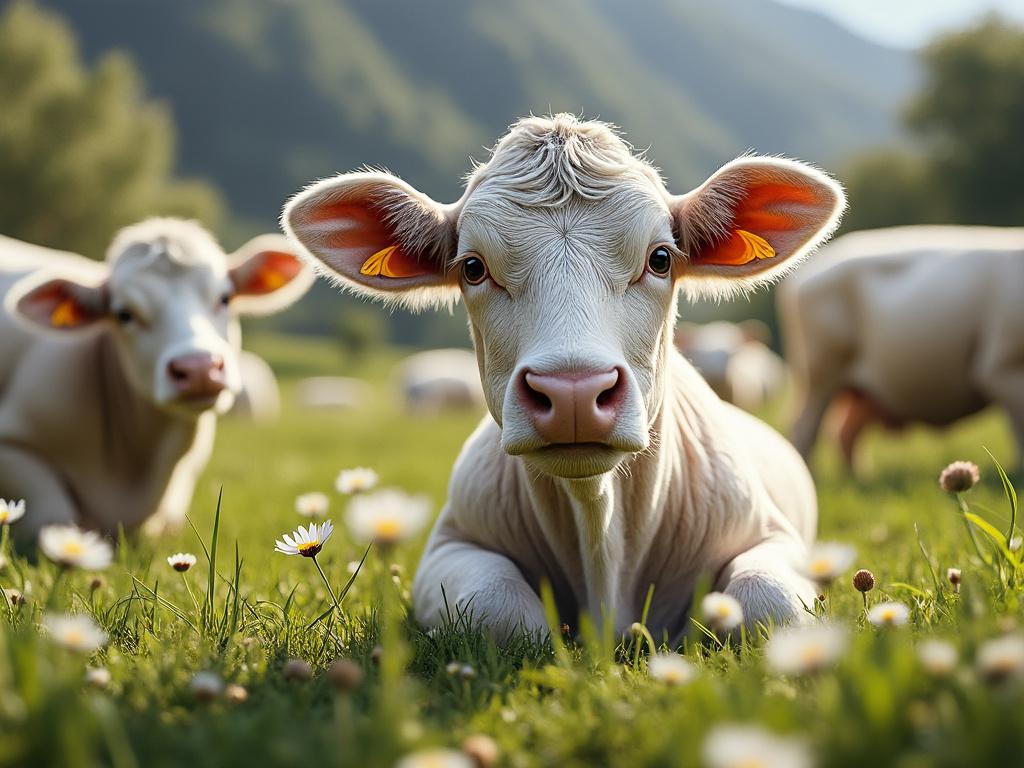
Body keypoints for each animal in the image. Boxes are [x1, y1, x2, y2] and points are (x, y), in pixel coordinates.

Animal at [284, 114, 844, 640]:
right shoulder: (451, 546)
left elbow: (764, 601)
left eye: (661, 258)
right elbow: (503, 612)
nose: (573, 391)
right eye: (472, 267)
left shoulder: (773, 538)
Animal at [779, 225, 1024, 473]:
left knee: (844, 431)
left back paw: (861, 476)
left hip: (857, 390)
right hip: (819, 371)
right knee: (804, 428)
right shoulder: (1002, 367)